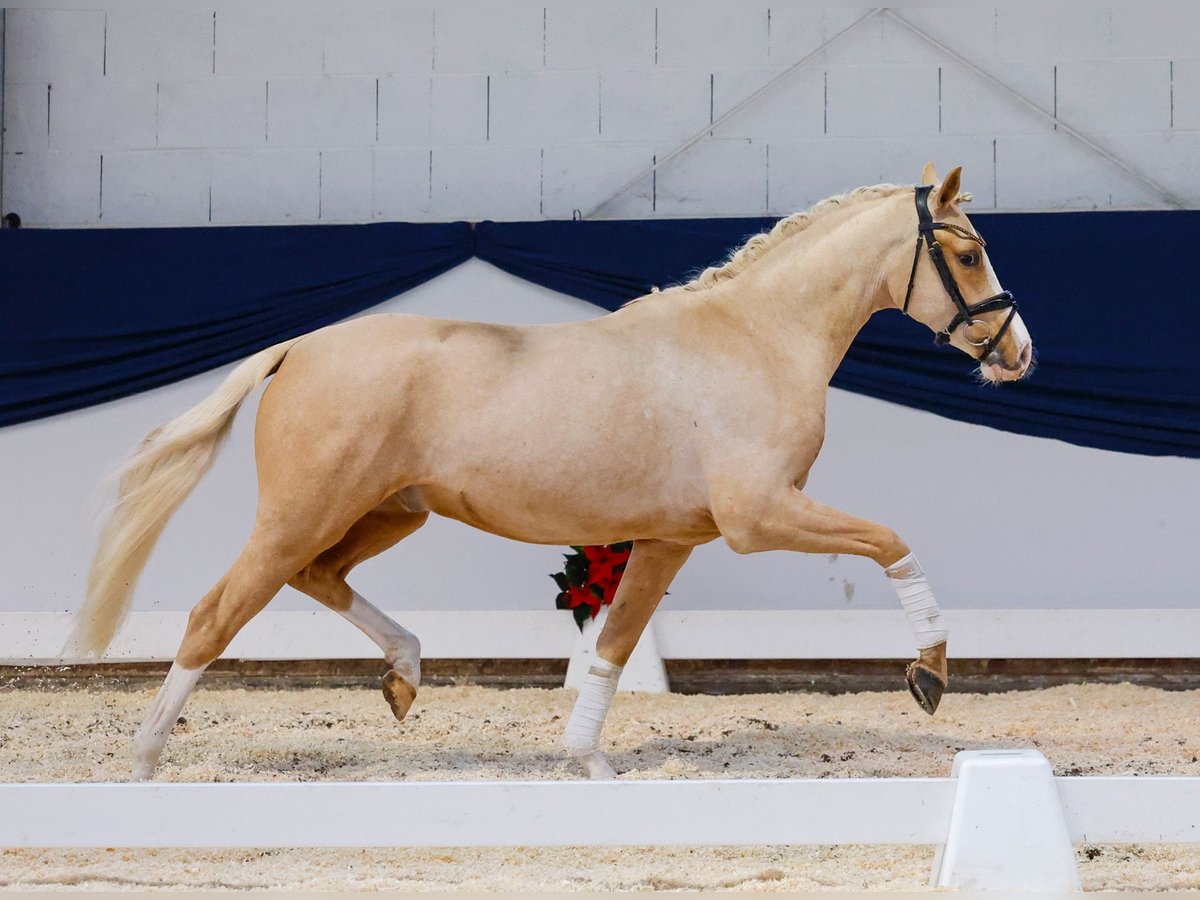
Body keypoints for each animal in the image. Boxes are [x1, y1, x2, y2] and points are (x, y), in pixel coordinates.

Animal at [70, 165, 1036, 787]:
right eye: (969, 251)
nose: (1019, 353)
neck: (755, 339)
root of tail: (297, 346)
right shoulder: (759, 516)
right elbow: (891, 542)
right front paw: (929, 674)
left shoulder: (672, 538)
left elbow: (612, 647)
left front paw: (589, 761)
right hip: (304, 512)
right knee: (216, 613)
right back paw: (145, 761)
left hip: (387, 513)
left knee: (318, 578)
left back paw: (404, 675)